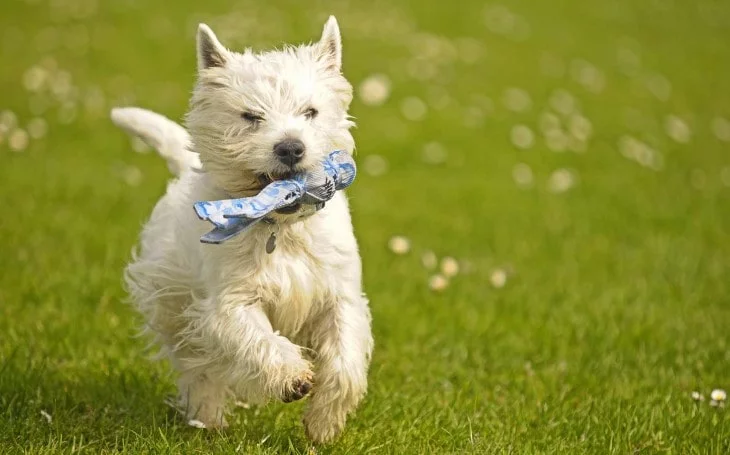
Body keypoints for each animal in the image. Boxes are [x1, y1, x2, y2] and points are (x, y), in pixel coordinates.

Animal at [114, 17, 376, 446]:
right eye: (251, 116)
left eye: (310, 111)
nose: (290, 147)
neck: (282, 228)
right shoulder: (229, 302)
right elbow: (257, 339)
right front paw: (292, 377)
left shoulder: (339, 296)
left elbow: (345, 362)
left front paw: (323, 423)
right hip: (175, 303)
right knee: (198, 366)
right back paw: (207, 419)